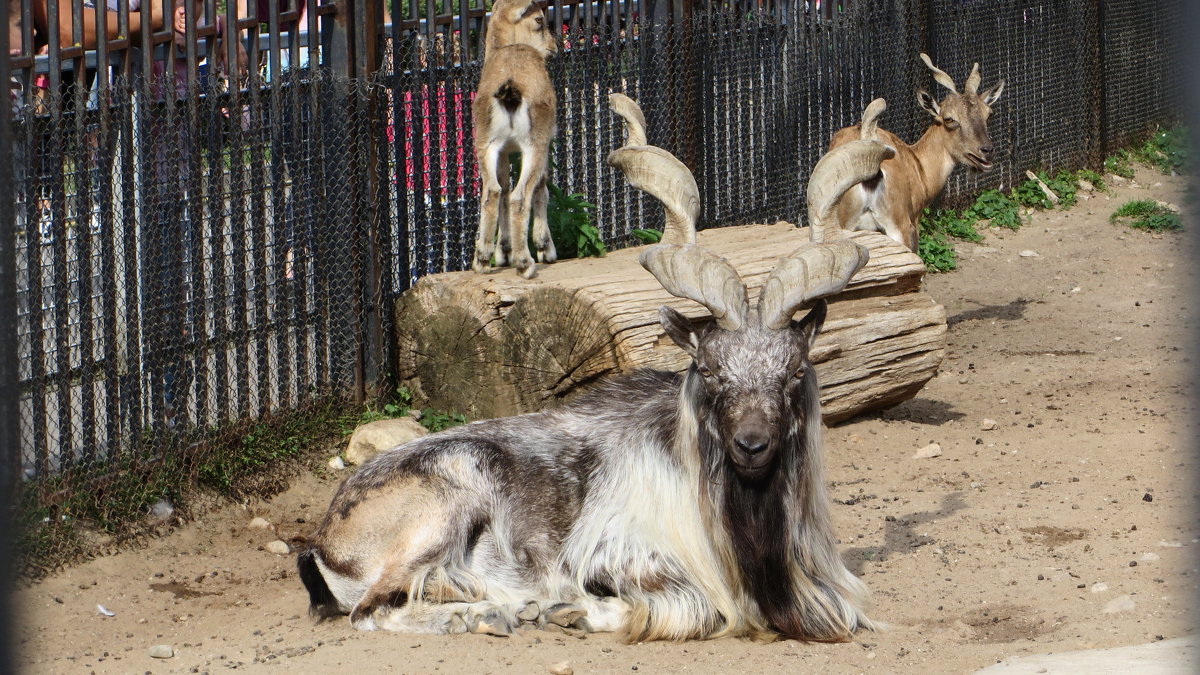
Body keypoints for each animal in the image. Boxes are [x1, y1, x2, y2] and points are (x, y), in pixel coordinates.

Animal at [295, 138, 888, 638]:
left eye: (795, 371)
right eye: (708, 368)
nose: (752, 445)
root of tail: (325, 540)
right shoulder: (615, 554)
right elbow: (694, 608)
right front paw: (570, 608)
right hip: (443, 503)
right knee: (371, 610)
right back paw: (487, 615)